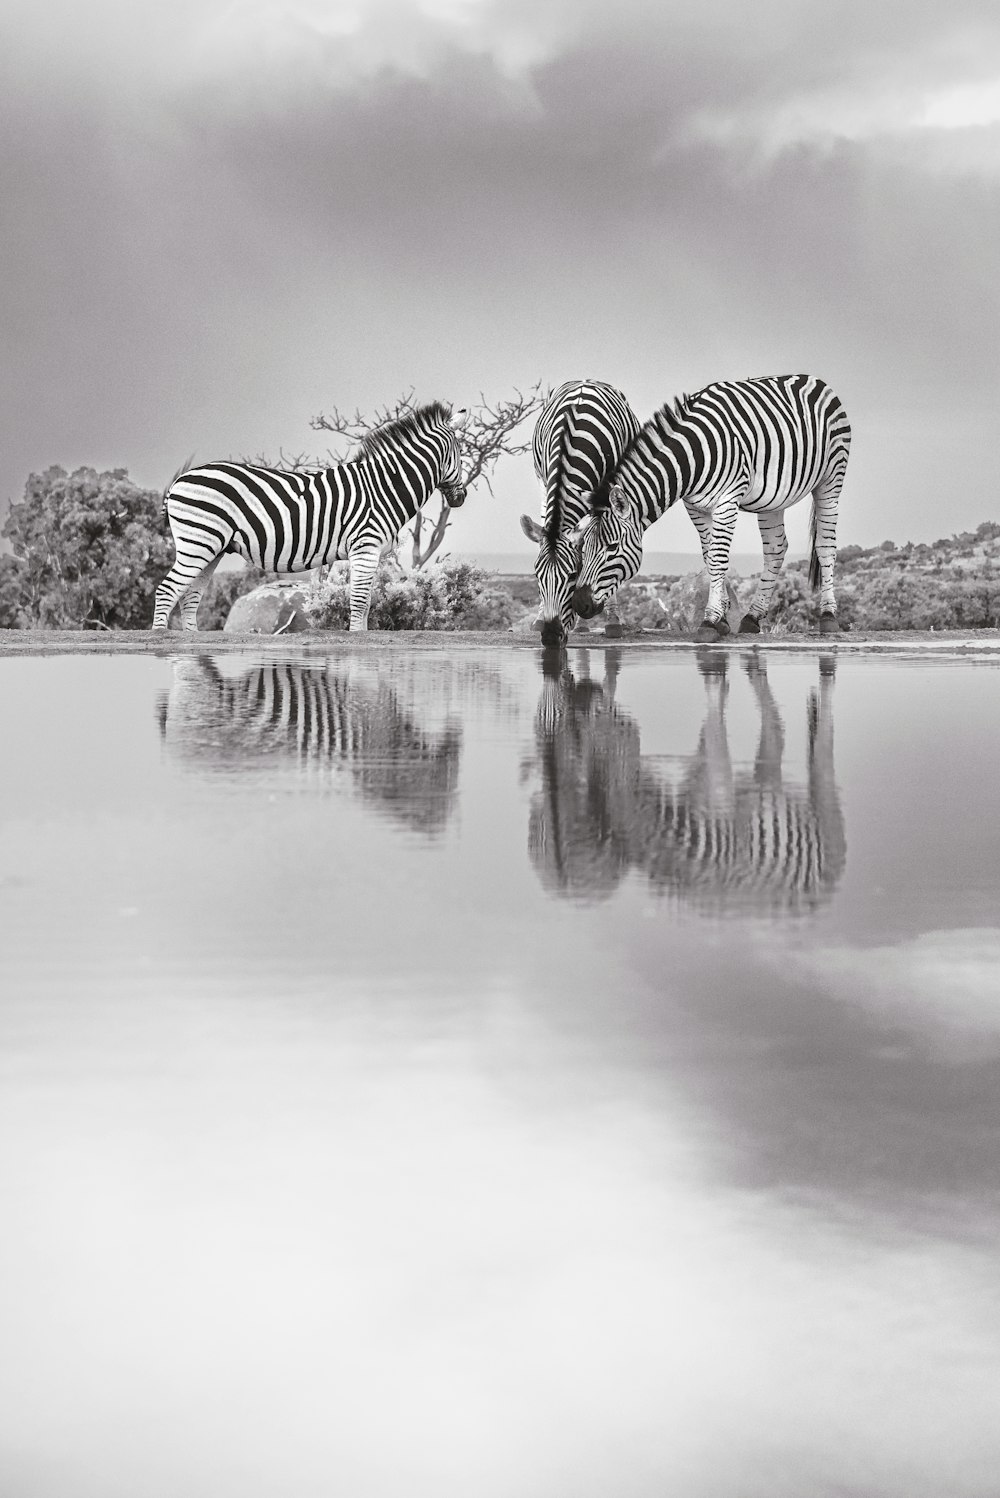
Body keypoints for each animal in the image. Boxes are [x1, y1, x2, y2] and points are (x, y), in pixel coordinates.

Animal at [152, 401, 470, 629]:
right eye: (460, 452)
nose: (462, 498)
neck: (383, 486)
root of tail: (181, 480)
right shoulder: (365, 546)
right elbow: (359, 602)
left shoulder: (368, 552)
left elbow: (366, 604)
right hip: (198, 541)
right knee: (168, 590)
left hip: (211, 548)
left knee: (189, 597)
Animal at [514, 377, 640, 647]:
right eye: (537, 576)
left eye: (573, 575)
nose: (551, 638)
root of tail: (587, 379)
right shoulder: (546, 480)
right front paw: (541, 616)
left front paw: (612, 621)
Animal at [568, 373, 850, 638]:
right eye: (583, 548)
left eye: (612, 547)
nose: (579, 604)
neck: (691, 458)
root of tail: (812, 379)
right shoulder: (695, 506)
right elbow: (709, 556)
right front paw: (723, 620)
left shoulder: (727, 500)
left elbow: (718, 558)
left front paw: (710, 621)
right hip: (773, 500)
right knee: (776, 549)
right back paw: (752, 618)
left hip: (831, 479)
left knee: (825, 546)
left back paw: (828, 617)